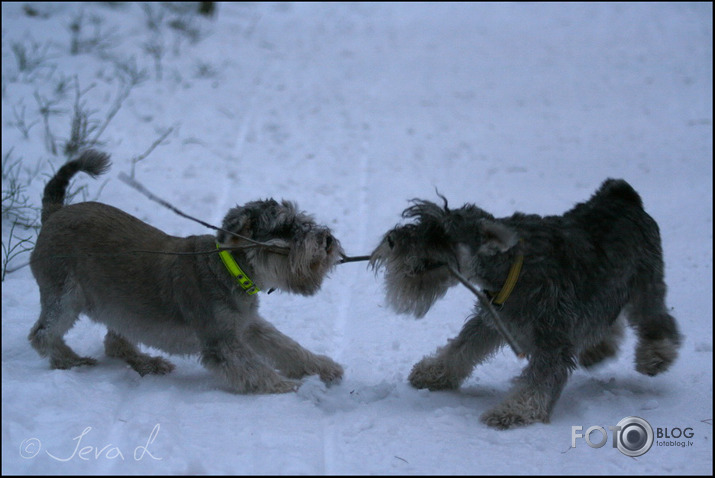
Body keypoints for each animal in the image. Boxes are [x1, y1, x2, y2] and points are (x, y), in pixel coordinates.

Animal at [32, 151, 346, 394]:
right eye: (284, 227)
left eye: (301, 218)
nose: (327, 240)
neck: (230, 270)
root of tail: (54, 212)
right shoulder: (222, 342)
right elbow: (257, 370)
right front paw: (294, 388)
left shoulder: (248, 325)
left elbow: (286, 346)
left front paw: (323, 368)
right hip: (65, 297)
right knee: (42, 334)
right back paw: (70, 361)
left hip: (121, 307)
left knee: (114, 341)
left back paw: (149, 363)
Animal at [374, 180, 684, 430]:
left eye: (440, 235)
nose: (391, 240)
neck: (511, 267)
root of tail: (622, 194)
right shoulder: (493, 319)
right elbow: (461, 348)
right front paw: (433, 372)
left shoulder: (552, 339)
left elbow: (539, 380)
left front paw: (514, 411)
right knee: (605, 321)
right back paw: (598, 349)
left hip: (645, 286)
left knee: (657, 321)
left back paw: (655, 356)